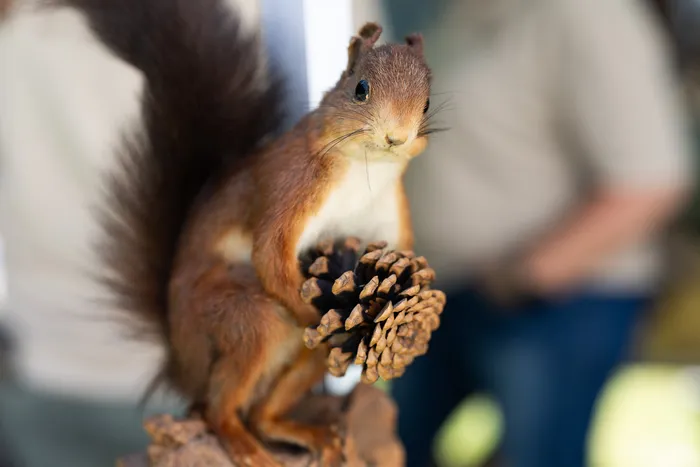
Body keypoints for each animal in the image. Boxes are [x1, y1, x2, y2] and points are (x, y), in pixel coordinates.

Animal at [59, 0, 433, 465]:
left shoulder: (387, 217)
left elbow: (401, 253)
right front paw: (310, 313)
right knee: (224, 402)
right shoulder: (292, 187)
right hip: (240, 318)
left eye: (427, 105)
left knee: (266, 408)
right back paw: (244, 443)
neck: (365, 168)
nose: (396, 137)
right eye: (360, 89)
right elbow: (270, 253)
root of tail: (184, 365)